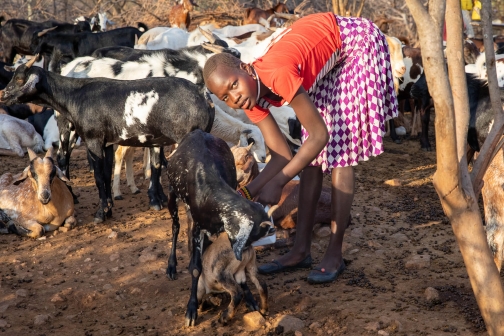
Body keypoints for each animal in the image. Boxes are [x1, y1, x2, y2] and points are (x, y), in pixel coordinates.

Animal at [0, 57, 213, 223]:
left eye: (20, 78)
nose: (3, 94)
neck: (75, 95)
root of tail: (202, 94)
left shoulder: (93, 140)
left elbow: (99, 176)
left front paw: (101, 213)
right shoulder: (107, 143)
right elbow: (107, 172)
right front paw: (109, 207)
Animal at [164, 129, 272, 326]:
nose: (245, 254)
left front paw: (250, 299)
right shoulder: (197, 227)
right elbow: (196, 267)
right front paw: (192, 308)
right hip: (171, 195)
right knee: (176, 226)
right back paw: (172, 266)